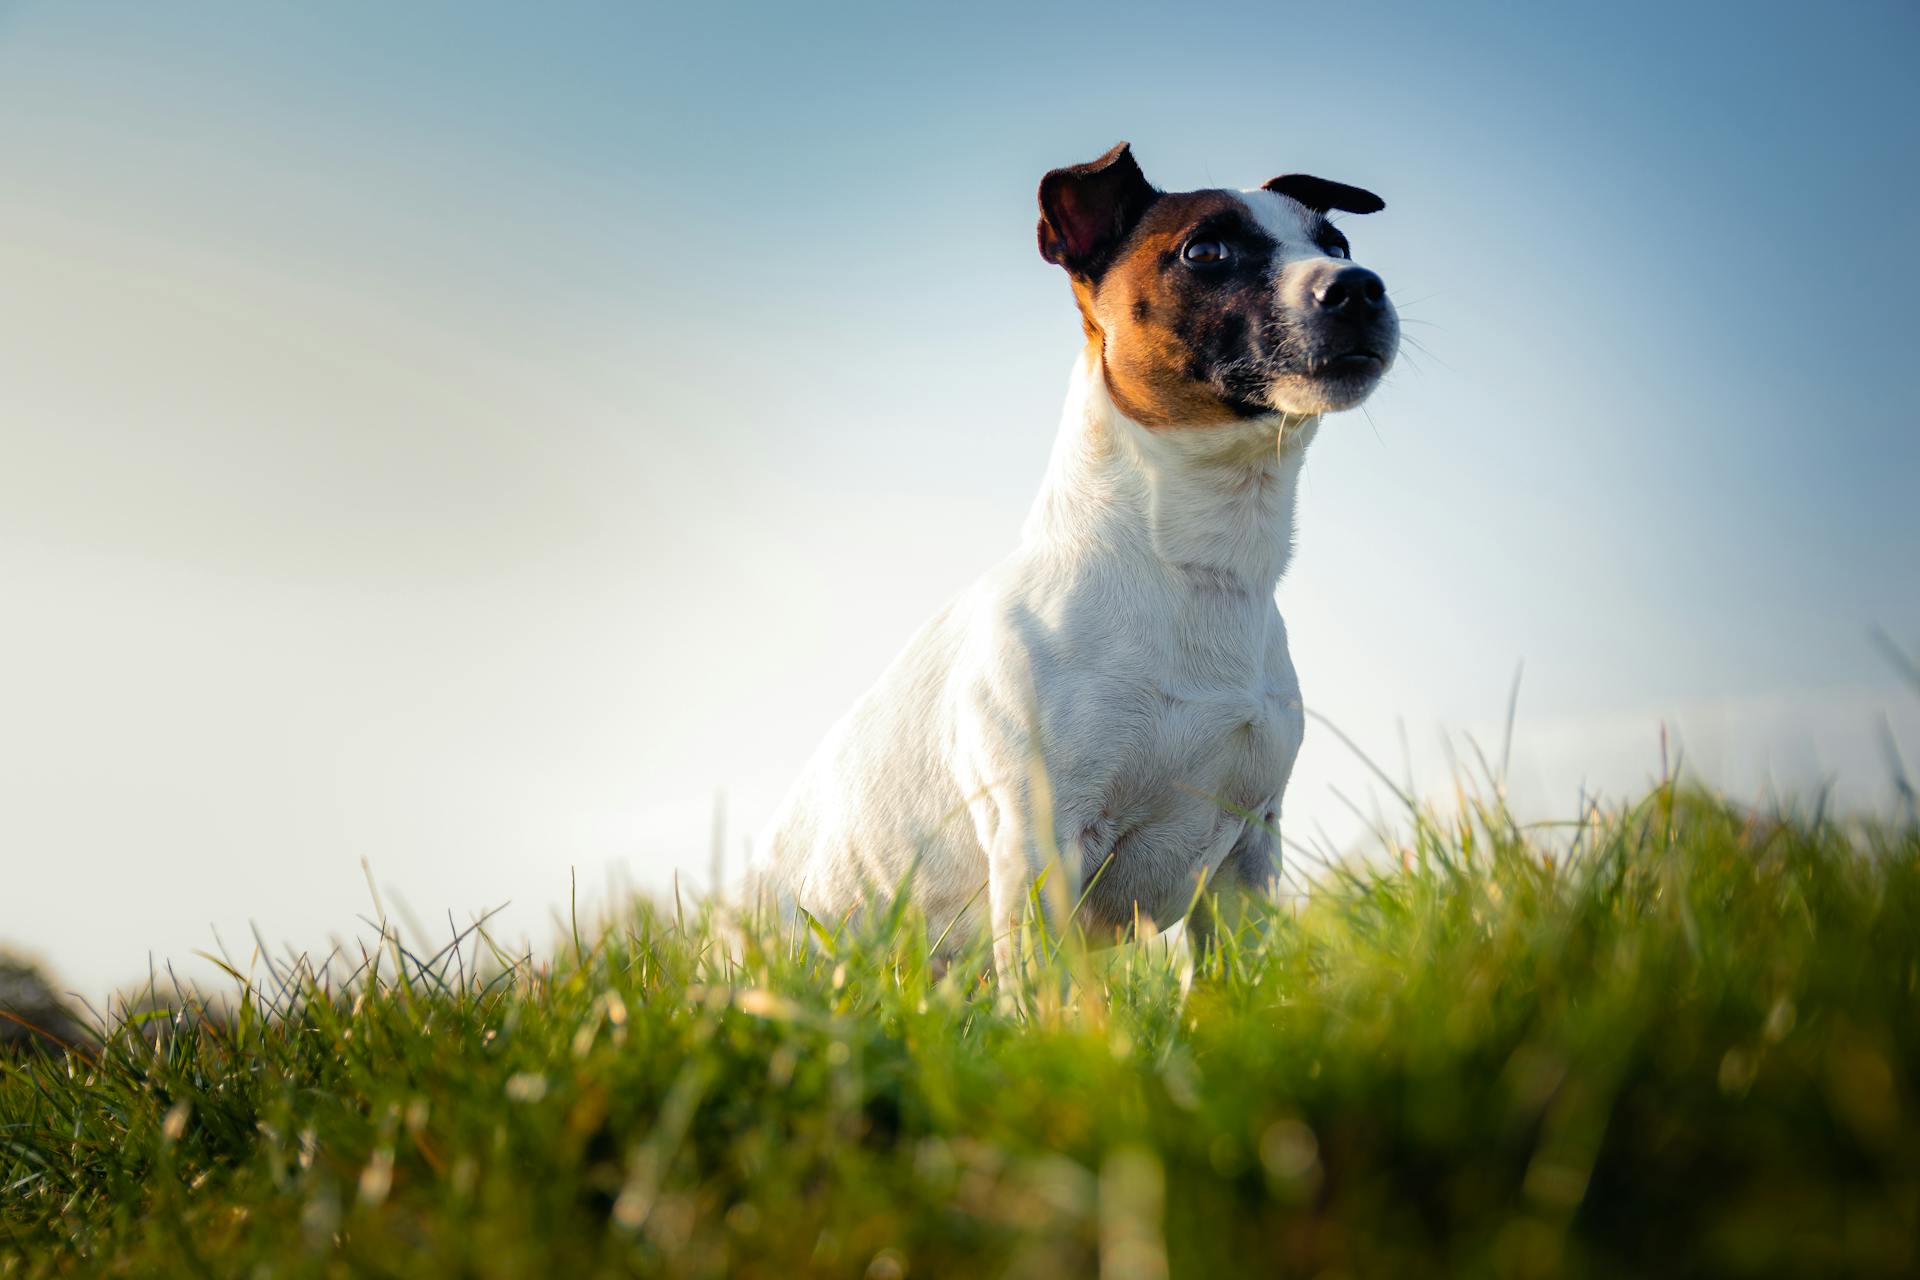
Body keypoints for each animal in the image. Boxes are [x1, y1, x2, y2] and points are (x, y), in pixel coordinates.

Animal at [756, 144, 1405, 974]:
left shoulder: (1245, 858)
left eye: (1339, 244)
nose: (1359, 286)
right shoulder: (1041, 848)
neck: (1194, 568)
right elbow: (1046, 992)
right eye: (1205, 252)